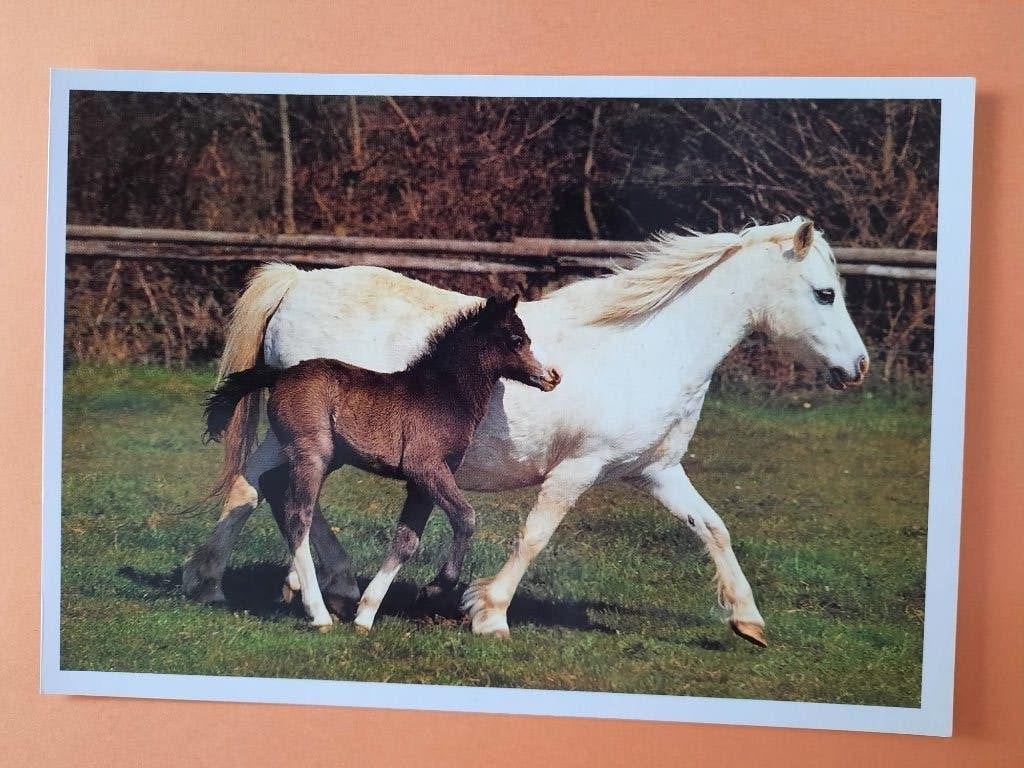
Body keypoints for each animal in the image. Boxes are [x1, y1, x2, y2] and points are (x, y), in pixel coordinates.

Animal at [202, 295, 560, 630]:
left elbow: (407, 540)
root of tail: (280, 376)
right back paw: (318, 613)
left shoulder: (423, 481)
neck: (444, 393)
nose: (552, 377)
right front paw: (432, 590)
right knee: (297, 516)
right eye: (516, 338)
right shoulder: (425, 467)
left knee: (272, 484)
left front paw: (366, 613)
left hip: (327, 457)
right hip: (312, 455)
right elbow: (465, 518)